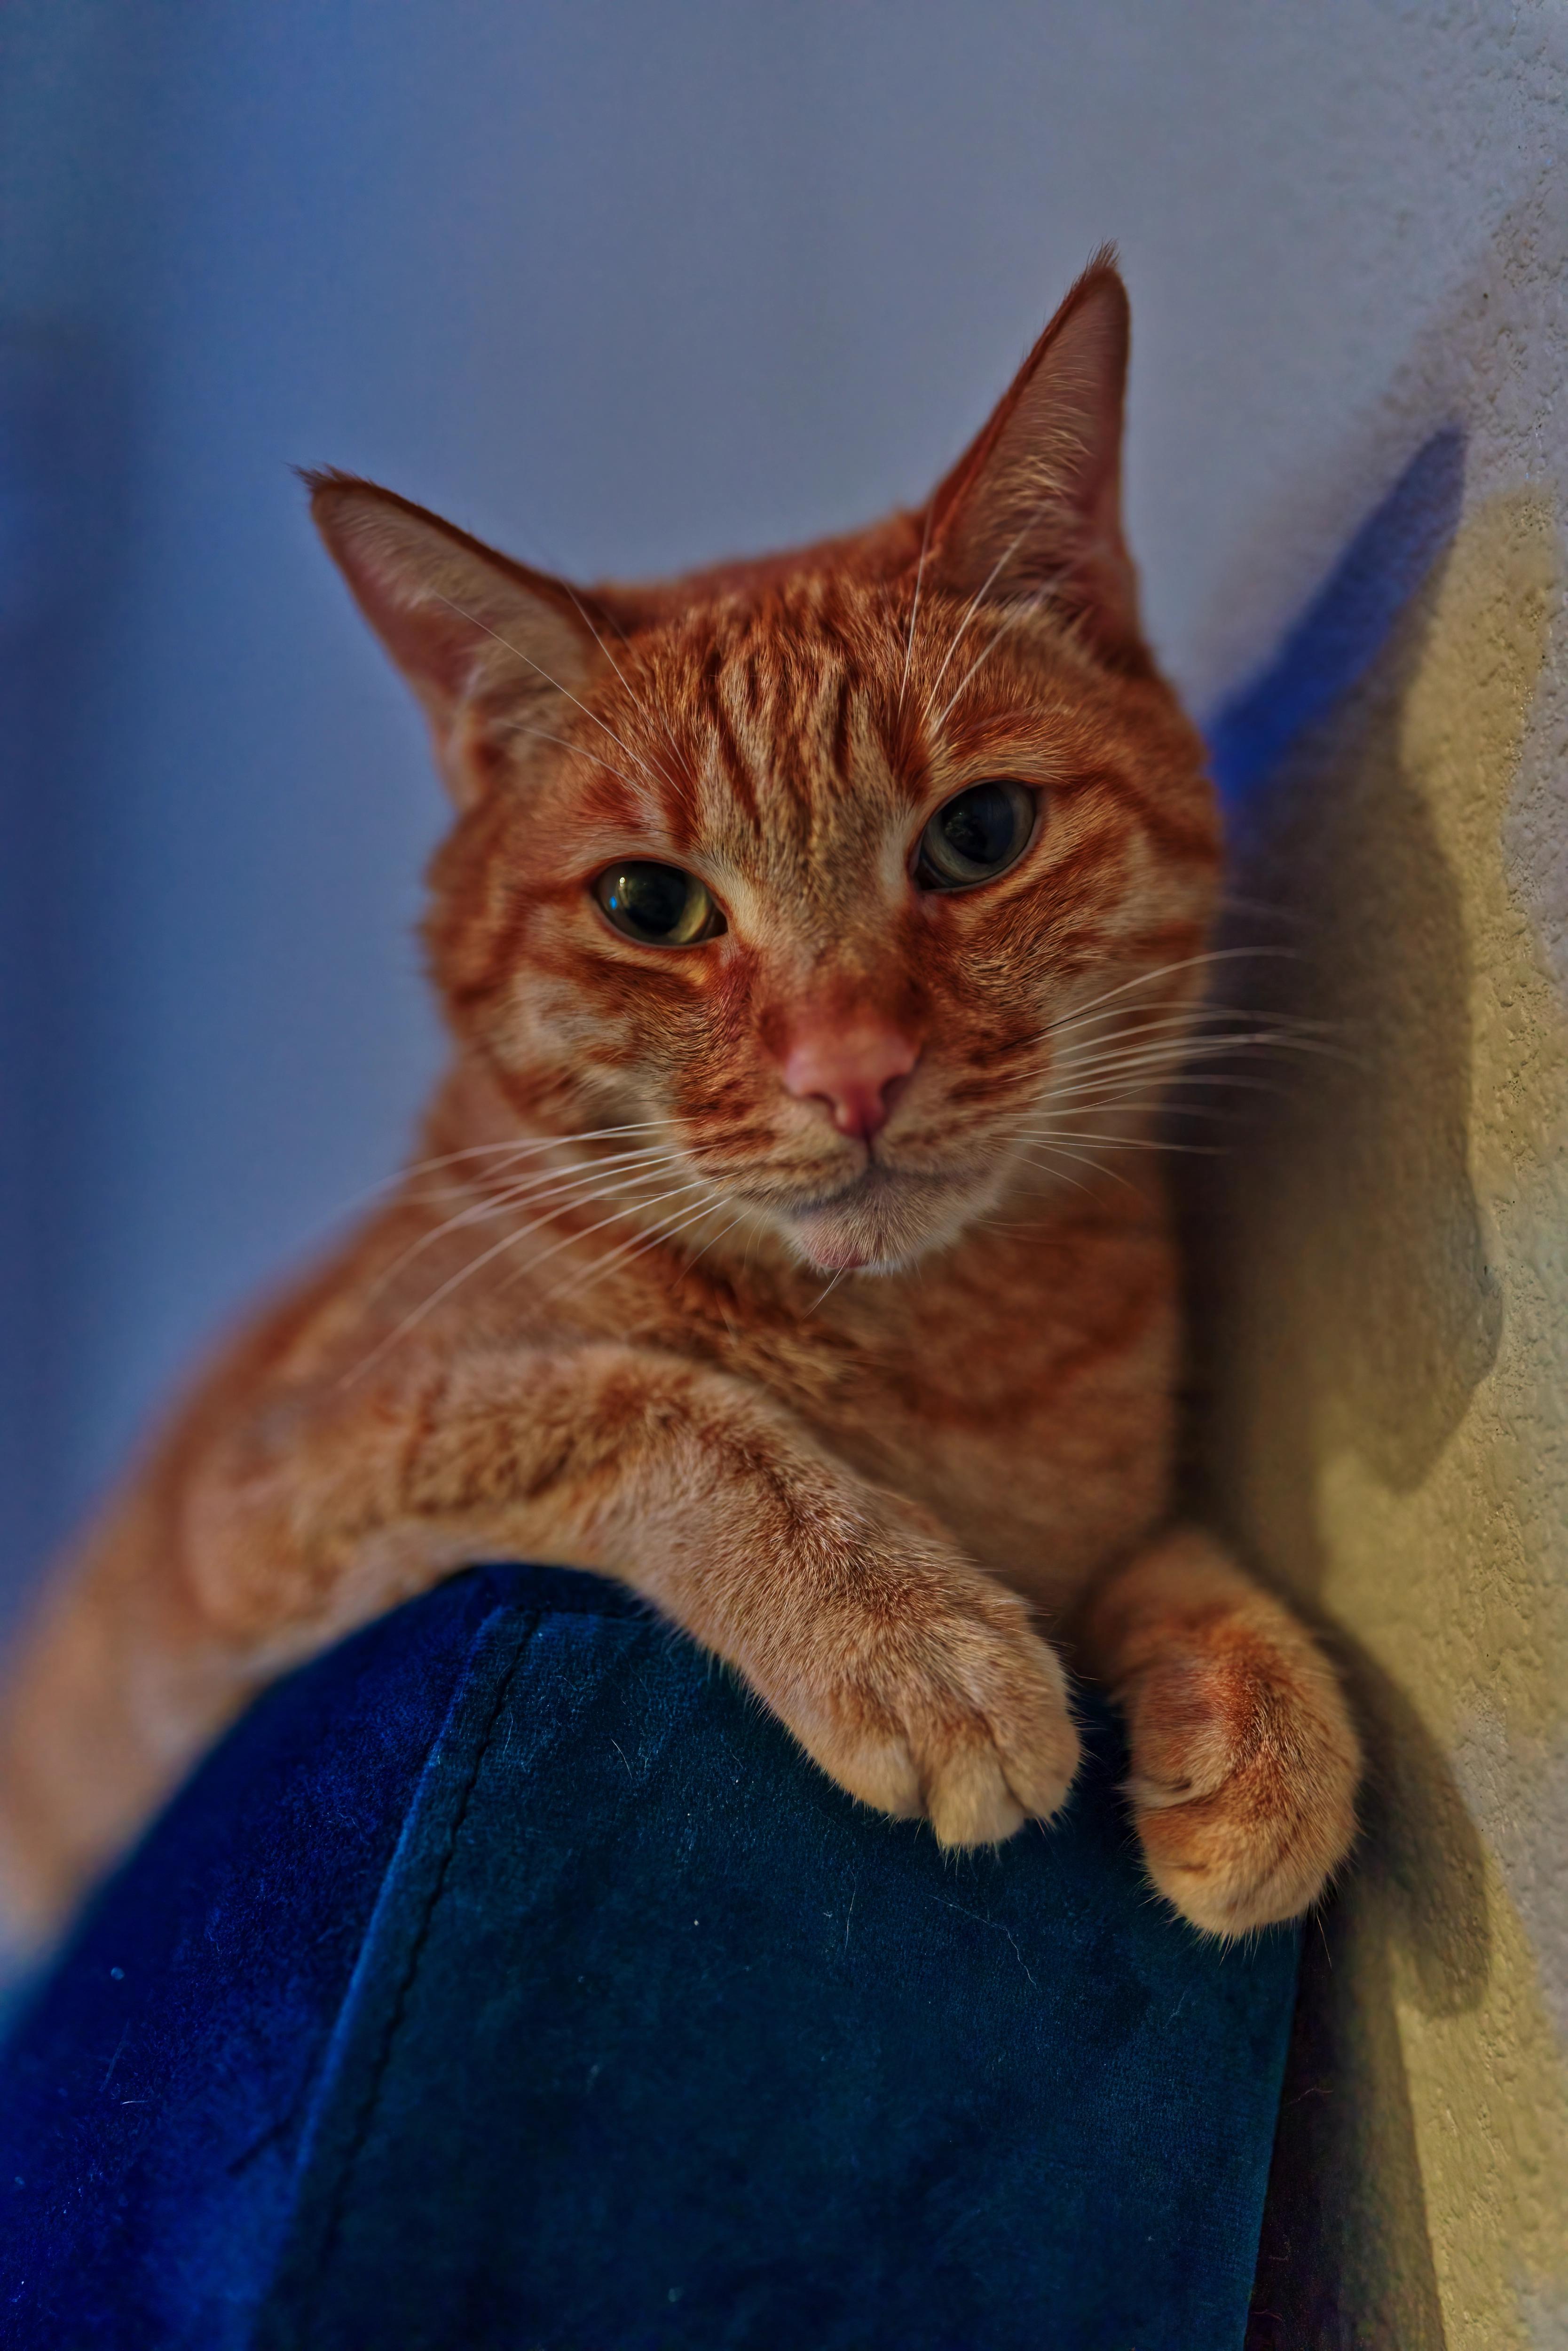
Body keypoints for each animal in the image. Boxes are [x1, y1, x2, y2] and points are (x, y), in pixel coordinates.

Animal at [0, 257, 1363, 1956]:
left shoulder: (1102, 1521)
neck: (924, 1374)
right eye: (651, 906)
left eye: (979, 835)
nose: (851, 1071)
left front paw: (1252, 1719)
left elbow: (1176, 1557)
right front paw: (908, 1633)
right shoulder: (272, 1491)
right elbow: (642, 1406)